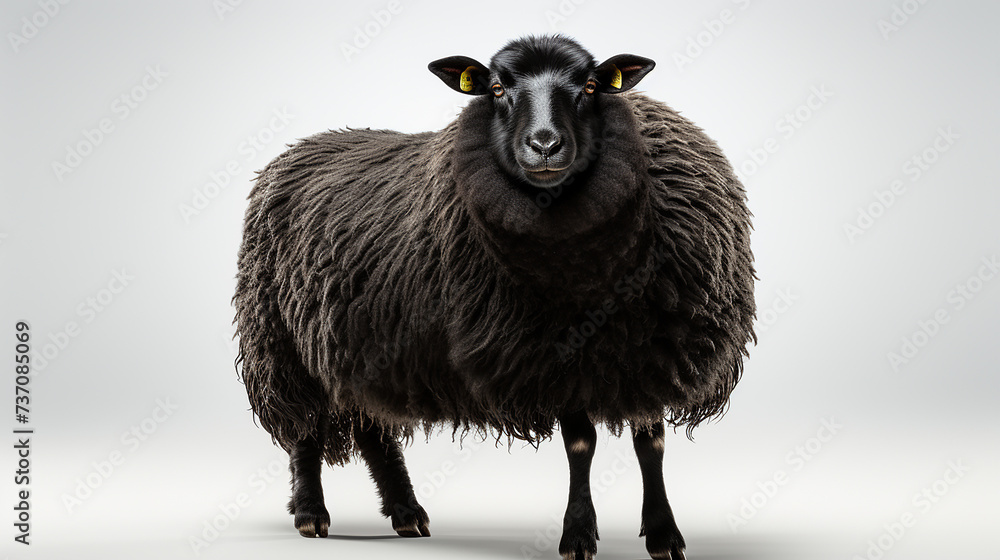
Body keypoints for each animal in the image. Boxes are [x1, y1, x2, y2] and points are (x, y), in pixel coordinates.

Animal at [233, 34, 755, 560]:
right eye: (498, 88)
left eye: (591, 86)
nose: (544, 145)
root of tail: (296, 149)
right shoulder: (555, 355)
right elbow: (581, 444)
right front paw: (578, 535)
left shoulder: (651, 352)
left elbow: (651, 446)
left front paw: (665, 535)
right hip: (281, 341)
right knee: (304, 426)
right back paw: (311, 514)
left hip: (360, 344)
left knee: (372, 430)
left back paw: (406, 514)